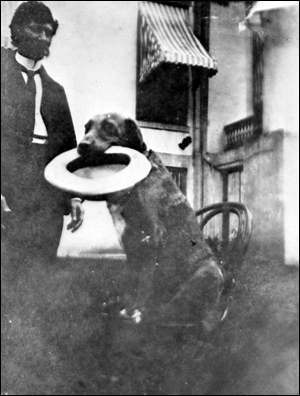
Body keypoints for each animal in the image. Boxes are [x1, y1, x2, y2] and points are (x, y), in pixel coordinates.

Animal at [78, 112, 229, 332]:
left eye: (109, 127)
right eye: (86, 127)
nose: (82, 145)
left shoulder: (151, 241)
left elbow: (144, 285)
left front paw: (135, 314)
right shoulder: (131, 250)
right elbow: (130, 285)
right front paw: (125, 309)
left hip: (208, 271)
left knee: (178, 313)